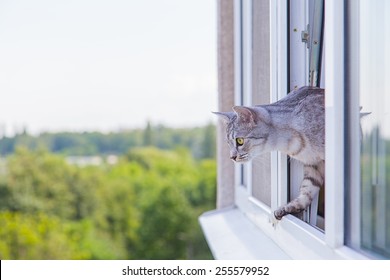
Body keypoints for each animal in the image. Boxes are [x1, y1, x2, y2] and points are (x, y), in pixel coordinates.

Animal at [215, 86, 324, 220]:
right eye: (228, 143)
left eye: (239, 141)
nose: (232, 157)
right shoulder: (313, 165)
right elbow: (307, 189)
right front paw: (289, 207)